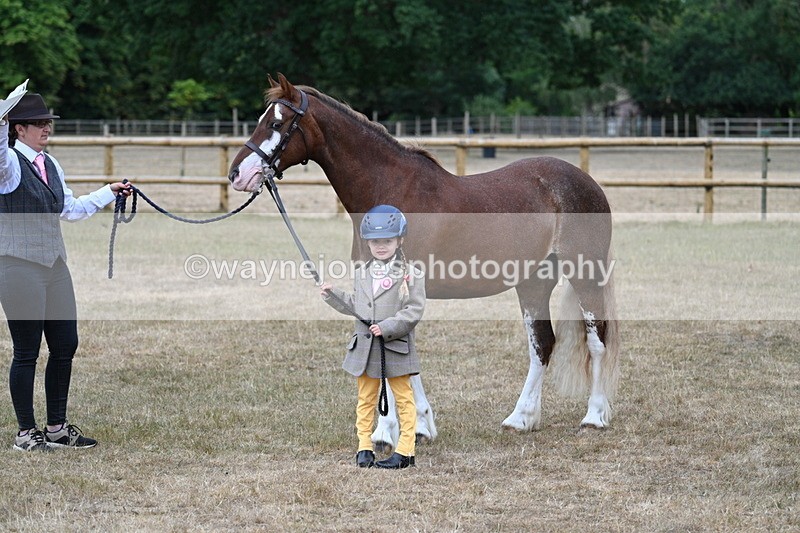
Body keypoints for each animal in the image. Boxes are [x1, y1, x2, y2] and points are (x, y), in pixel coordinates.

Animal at [228, 73, 619, 451]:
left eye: (277, 123)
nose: (237, 174)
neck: (390, 196)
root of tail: (586, 182)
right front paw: (418, 427)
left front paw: (390, 433)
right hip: (534, 282)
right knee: (542, 344)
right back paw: (521, 419)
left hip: (585, 275)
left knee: (596, 340)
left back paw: (594, 417)